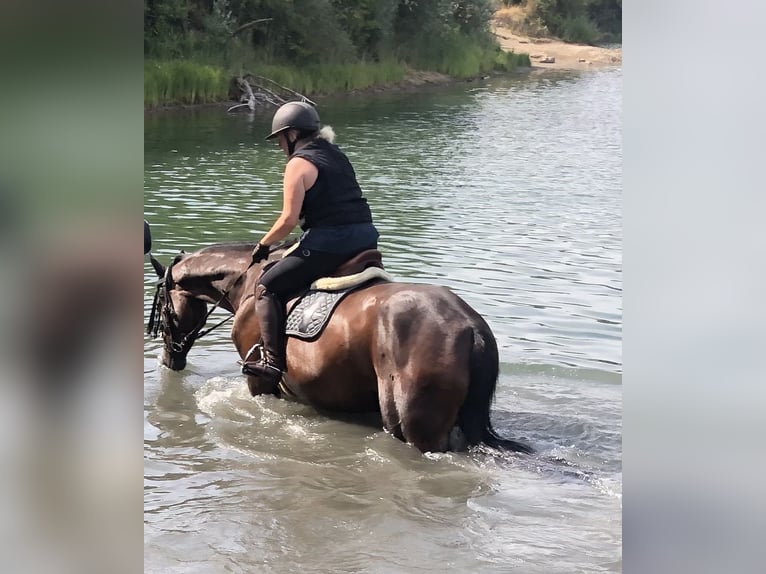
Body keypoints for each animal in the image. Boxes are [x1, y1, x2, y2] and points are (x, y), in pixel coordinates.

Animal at [146, 241, 532, 455]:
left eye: (162, 306)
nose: (168, 359)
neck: (247, 283)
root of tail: (470, 326)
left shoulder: (259, 382)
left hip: (417, 426)